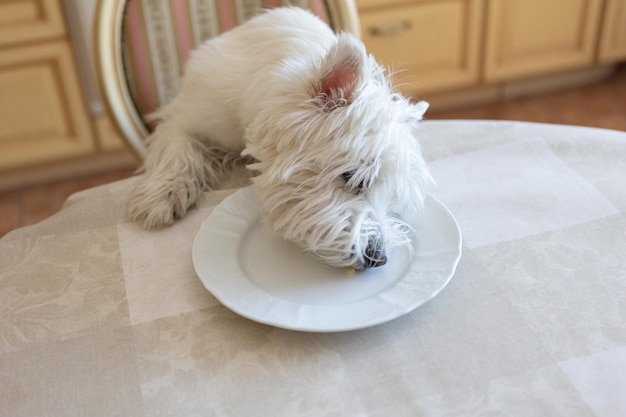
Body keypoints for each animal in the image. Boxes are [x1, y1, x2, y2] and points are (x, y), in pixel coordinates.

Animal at [128, 7, 428, 270]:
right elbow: (178, 147)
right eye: (354, 178)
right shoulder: (188, 116)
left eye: (392, 199)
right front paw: (163, 195)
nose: (379, 258)